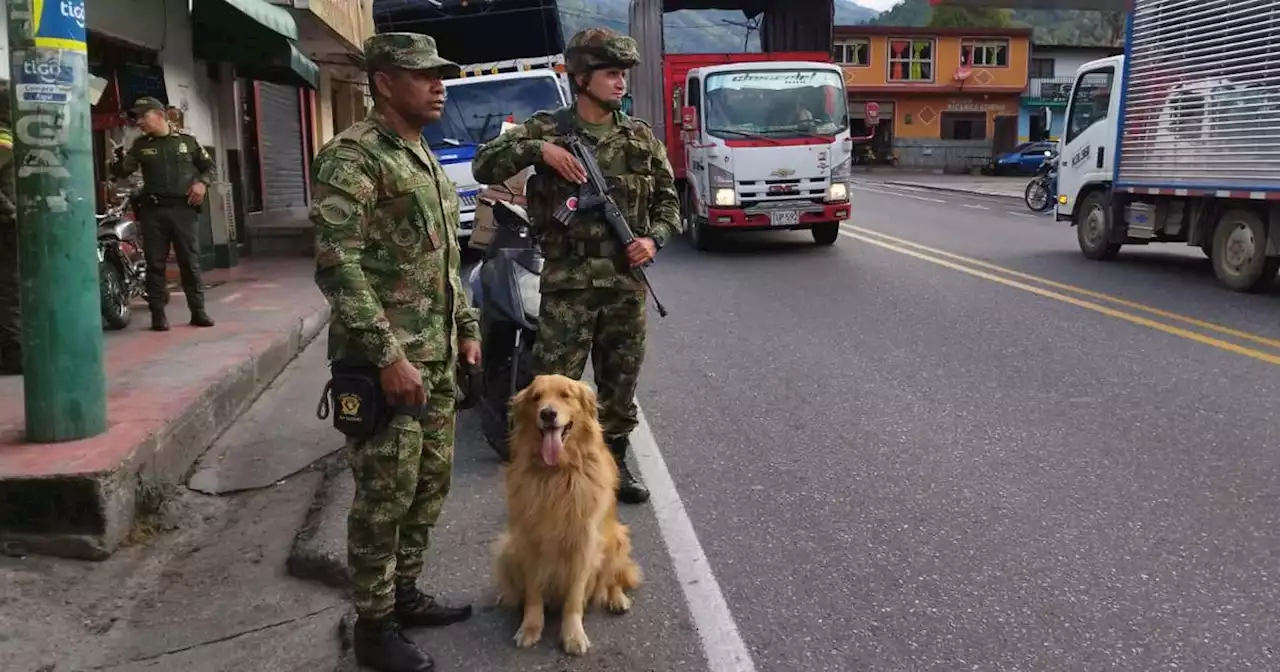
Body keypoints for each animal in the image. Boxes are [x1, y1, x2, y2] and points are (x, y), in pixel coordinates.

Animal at [494, 373, 645, 652]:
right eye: (536, 397)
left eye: (566, 395)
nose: (548, 413)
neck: (556, 473)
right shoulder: (529, 541)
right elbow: (533, 593)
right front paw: (530, 626)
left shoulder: (584, 543)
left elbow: (574, 598)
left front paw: (573, 635)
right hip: (506, 548)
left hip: (617, 539)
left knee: (614, 578)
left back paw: (617, 598)